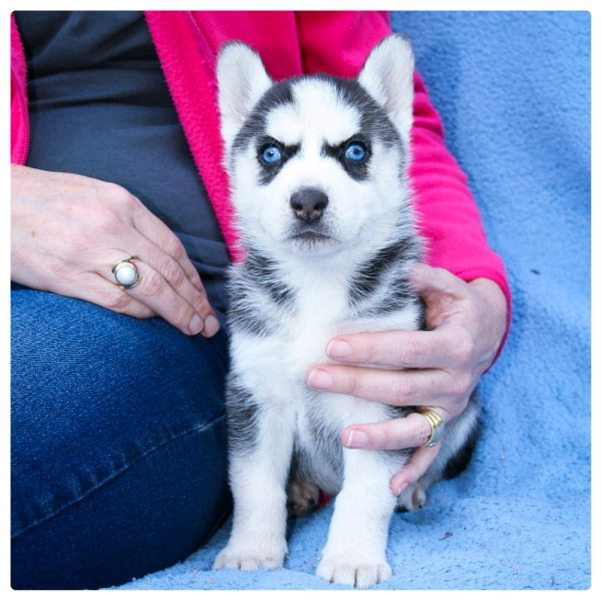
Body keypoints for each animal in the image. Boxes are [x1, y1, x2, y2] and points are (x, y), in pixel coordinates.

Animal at [213, 35, 480, 588]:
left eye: (355, 151)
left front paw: (353, 557)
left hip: (469, 411)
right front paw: (251, 549)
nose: (308, 201)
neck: (318, 283)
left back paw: (414, 489)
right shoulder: (255, 394)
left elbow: (367, 492)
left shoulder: (379, 401)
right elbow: (253, 482)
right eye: (271, 153)